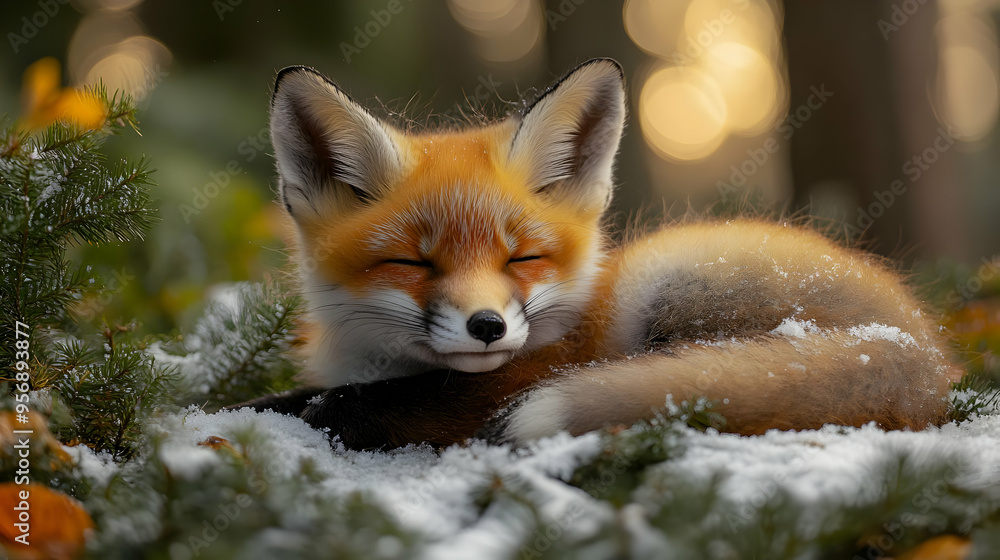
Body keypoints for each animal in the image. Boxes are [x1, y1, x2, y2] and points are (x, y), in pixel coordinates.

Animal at [233, 58, 959, 450]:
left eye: (521, 259)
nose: (486, 326)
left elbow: (340, 405)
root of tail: (923, 351)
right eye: (414, 264)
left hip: (663, 274)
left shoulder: (523, 375)